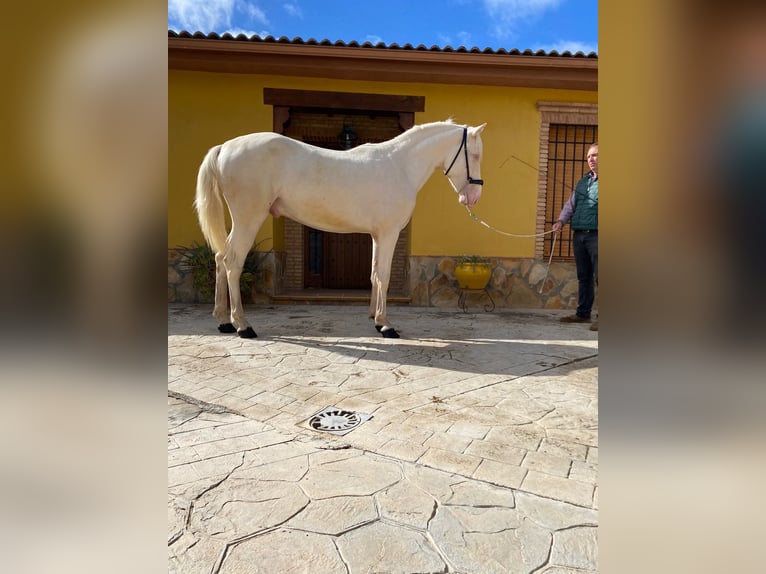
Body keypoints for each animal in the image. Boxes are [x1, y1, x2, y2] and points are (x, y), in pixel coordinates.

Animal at [195, 119, 488, 340]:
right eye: (474, 155)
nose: (473, 197)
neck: (400, 165)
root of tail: (225, 147)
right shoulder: (389, 233)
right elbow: (384, 276)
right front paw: (386, 325)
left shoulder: (377, 235)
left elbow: (374, 274)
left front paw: (374, 318)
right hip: (249, 219)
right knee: (233, 262)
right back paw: (242, 325)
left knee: (220, 258)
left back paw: (223, 321)